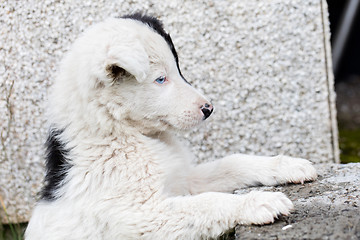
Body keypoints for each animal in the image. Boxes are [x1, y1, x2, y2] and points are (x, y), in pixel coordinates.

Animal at [25, 13, 316, 240]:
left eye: (177, 69)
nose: (208, 109)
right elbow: (206, 204)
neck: (121, 132)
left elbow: (232, 163)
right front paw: (258, 202)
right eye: (160, 79)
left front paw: (287, 165)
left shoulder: (184, 180)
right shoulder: (144, 216)